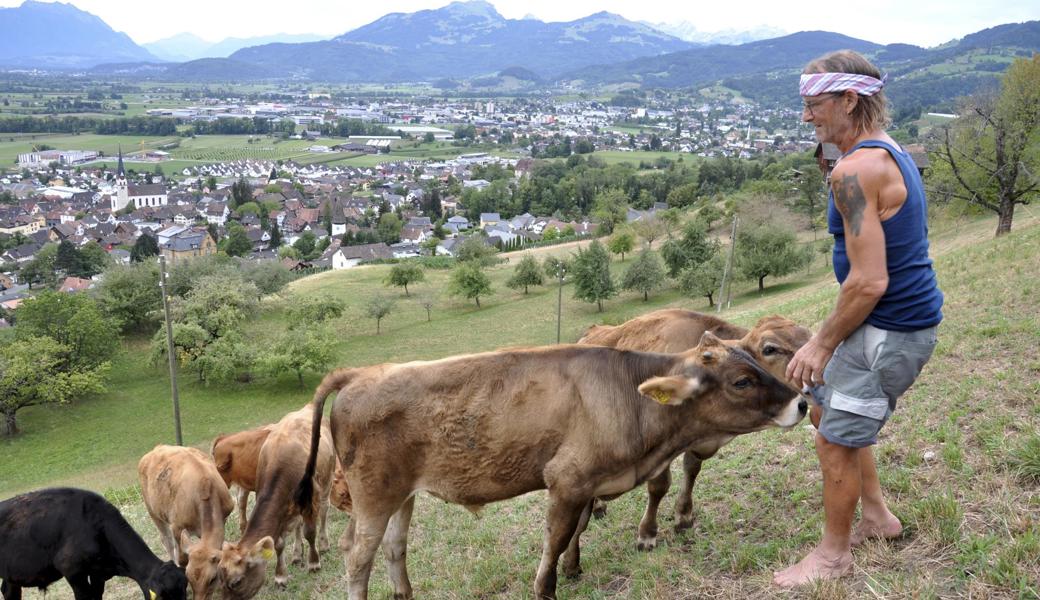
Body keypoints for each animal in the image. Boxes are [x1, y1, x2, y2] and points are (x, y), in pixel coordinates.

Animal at [138, 445, 233, 598]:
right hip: (152, 510)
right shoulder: (177, 526)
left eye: (212, 579)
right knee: (167, 540)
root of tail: (156, 448)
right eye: (188, 576)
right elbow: (183, 559)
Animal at [217, 403, 334, 598]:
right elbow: (278, 544)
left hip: (327, 481)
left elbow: (310, 532)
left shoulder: (310, 500)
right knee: (297, 525)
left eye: (237, 582)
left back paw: (323, 544)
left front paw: (314, 563)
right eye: (220, 580)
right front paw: (281, 577)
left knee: (324, 511)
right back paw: (297, 554)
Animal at [297, 336, 807, 598]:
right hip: (374, 495)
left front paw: (575, 568)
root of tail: (362, 373)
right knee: (357, 555)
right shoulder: (567, 479)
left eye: (757, 360)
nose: (801, 402)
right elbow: (555, 539)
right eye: (741, 381)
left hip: (401, 494)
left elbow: (578, 529)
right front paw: (548, 586)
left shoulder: (587, 482)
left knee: (393, 548)